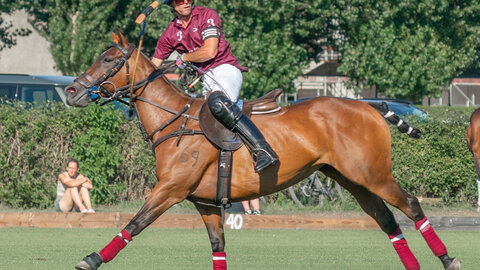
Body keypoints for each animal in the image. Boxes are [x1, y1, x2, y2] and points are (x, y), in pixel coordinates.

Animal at [65, 30, 460, 268]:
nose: (71, 91)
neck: (175, 122)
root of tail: (368, 105)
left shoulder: (171, 189)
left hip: (373, 174)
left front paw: (91, 259)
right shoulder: (205, 202)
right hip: (351, 178)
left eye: (108, 59)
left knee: (411, 205)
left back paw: (448, 259)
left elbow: (135, 223)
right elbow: (218, 246)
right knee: (386, 218)